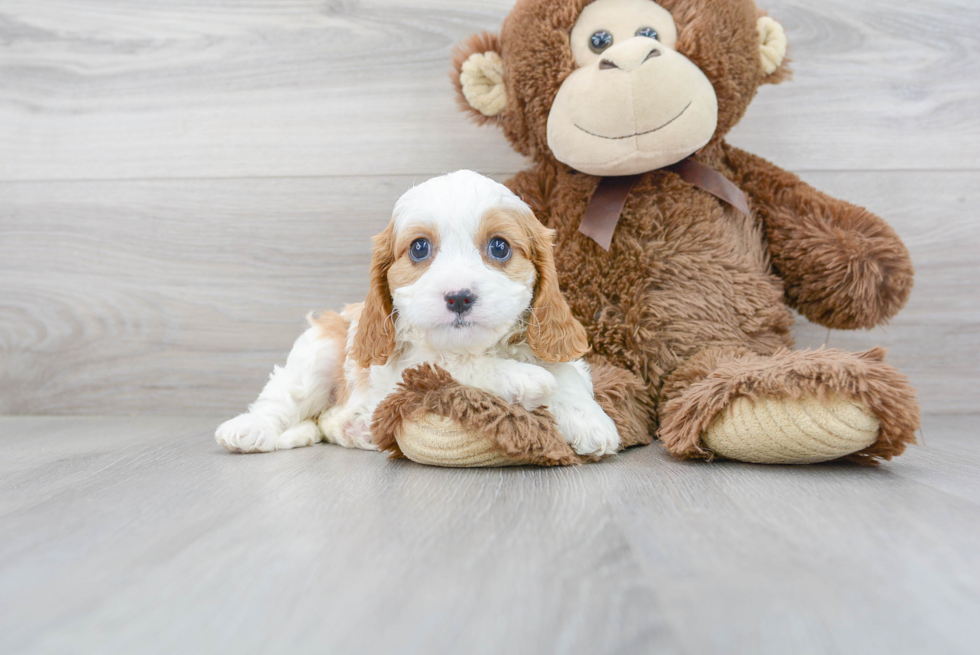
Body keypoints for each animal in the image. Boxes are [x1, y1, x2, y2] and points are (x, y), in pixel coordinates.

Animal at [216, 172, 620, 464]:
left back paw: (348, 429)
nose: (459, 297)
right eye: (420, 248)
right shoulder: (407, 371)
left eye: (499, 247)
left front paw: (590, 419)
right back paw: (250, 429)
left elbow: (566, 372)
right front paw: (523, 377)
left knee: (320, 422)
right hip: (317, 354)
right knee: (283, 400)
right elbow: (454, 365)